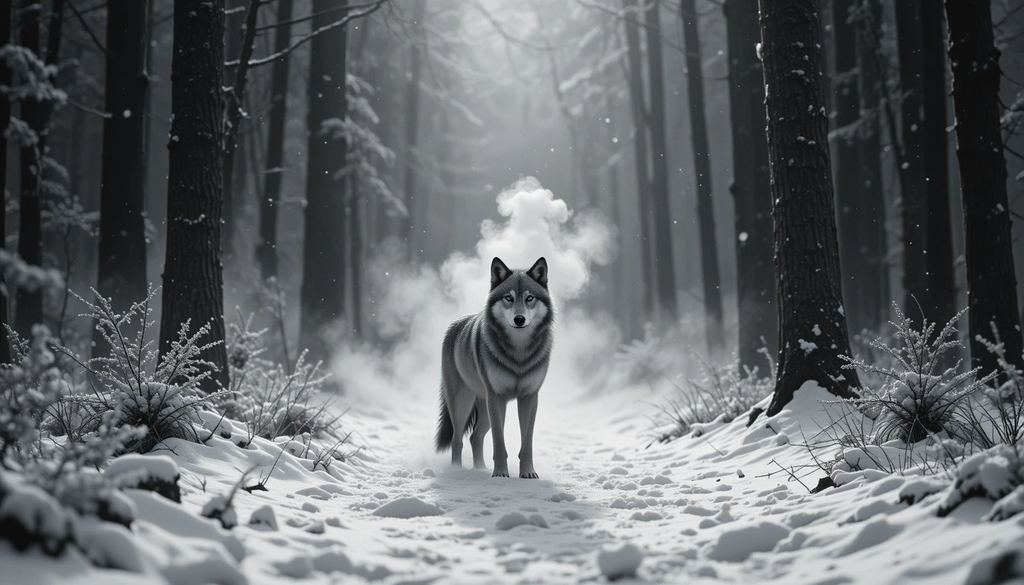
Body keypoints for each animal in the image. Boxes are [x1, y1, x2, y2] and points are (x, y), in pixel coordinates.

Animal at [434, 257, 554, 478]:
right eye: (508, 298)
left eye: (530, 298)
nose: (519, 319)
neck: (519, 353)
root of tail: (456, 323)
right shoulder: (497, 398)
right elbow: (499, 443)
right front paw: (500, 474)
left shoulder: (529, 397)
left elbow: (527, 443)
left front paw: (528, 473)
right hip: (464, 404)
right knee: (457, 439)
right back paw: (457, 471)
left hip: (484, 408)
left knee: (475, 437)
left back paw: (480, 468)